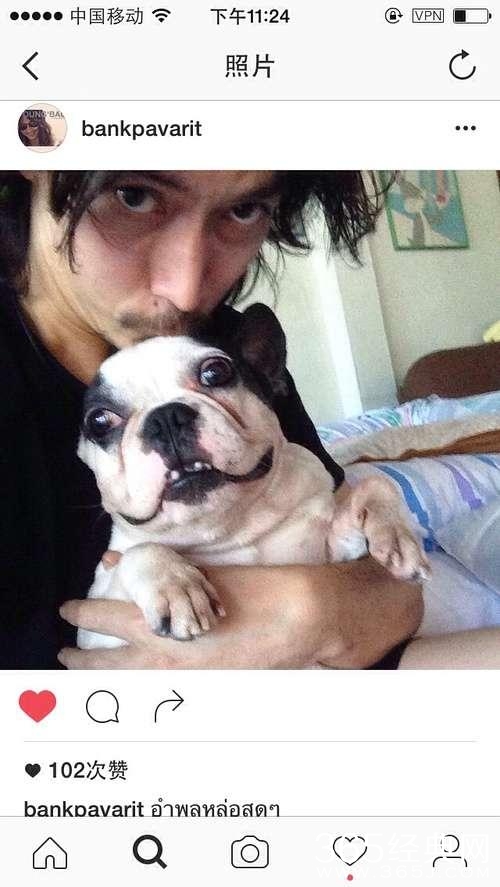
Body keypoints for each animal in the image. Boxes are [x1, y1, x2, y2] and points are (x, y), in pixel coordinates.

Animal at [77, 303, 429, 649]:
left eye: (215, 372)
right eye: (99, 421)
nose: (165, 417)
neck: (231, 528)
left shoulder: (334, 550)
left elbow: (375, 484)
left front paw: (396, 535)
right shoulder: (95, 631)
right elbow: (138, 552)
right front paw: (176, 587)